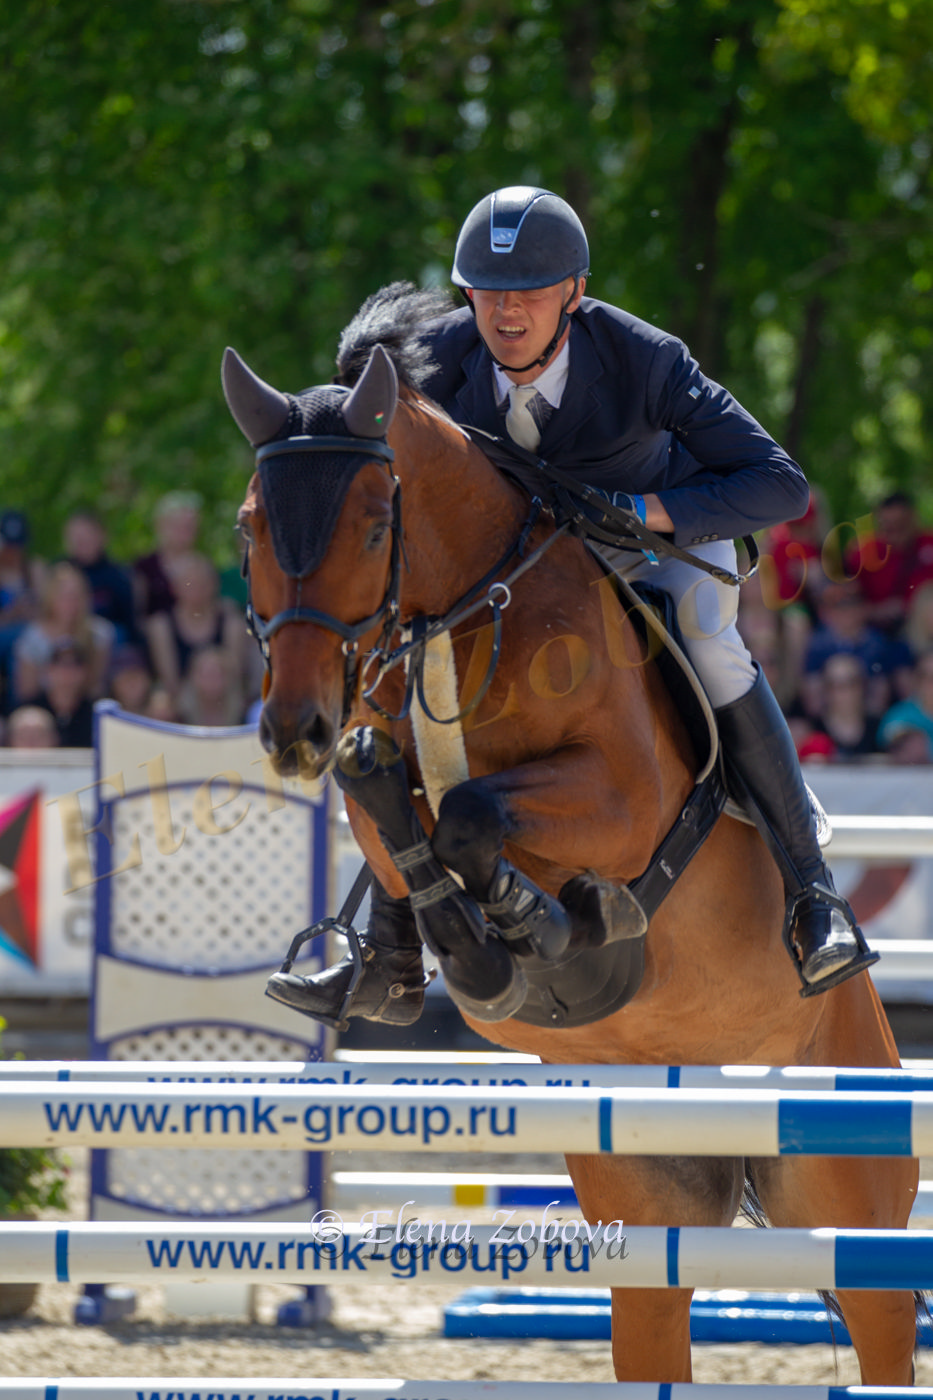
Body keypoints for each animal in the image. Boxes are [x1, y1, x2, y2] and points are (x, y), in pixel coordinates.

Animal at [222, 283, 920, 1384]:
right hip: (649, 1203)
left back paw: (818, 934)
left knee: (880, 1311)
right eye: (250, 524)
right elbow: (392, 804)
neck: (469, 604)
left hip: (844, 1191)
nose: (295, 729)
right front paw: (449, 960)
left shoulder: (619, 798)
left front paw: (542, 929)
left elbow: (477, 819)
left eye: (375, 524)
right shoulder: (377, 771)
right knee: (658, 1314)